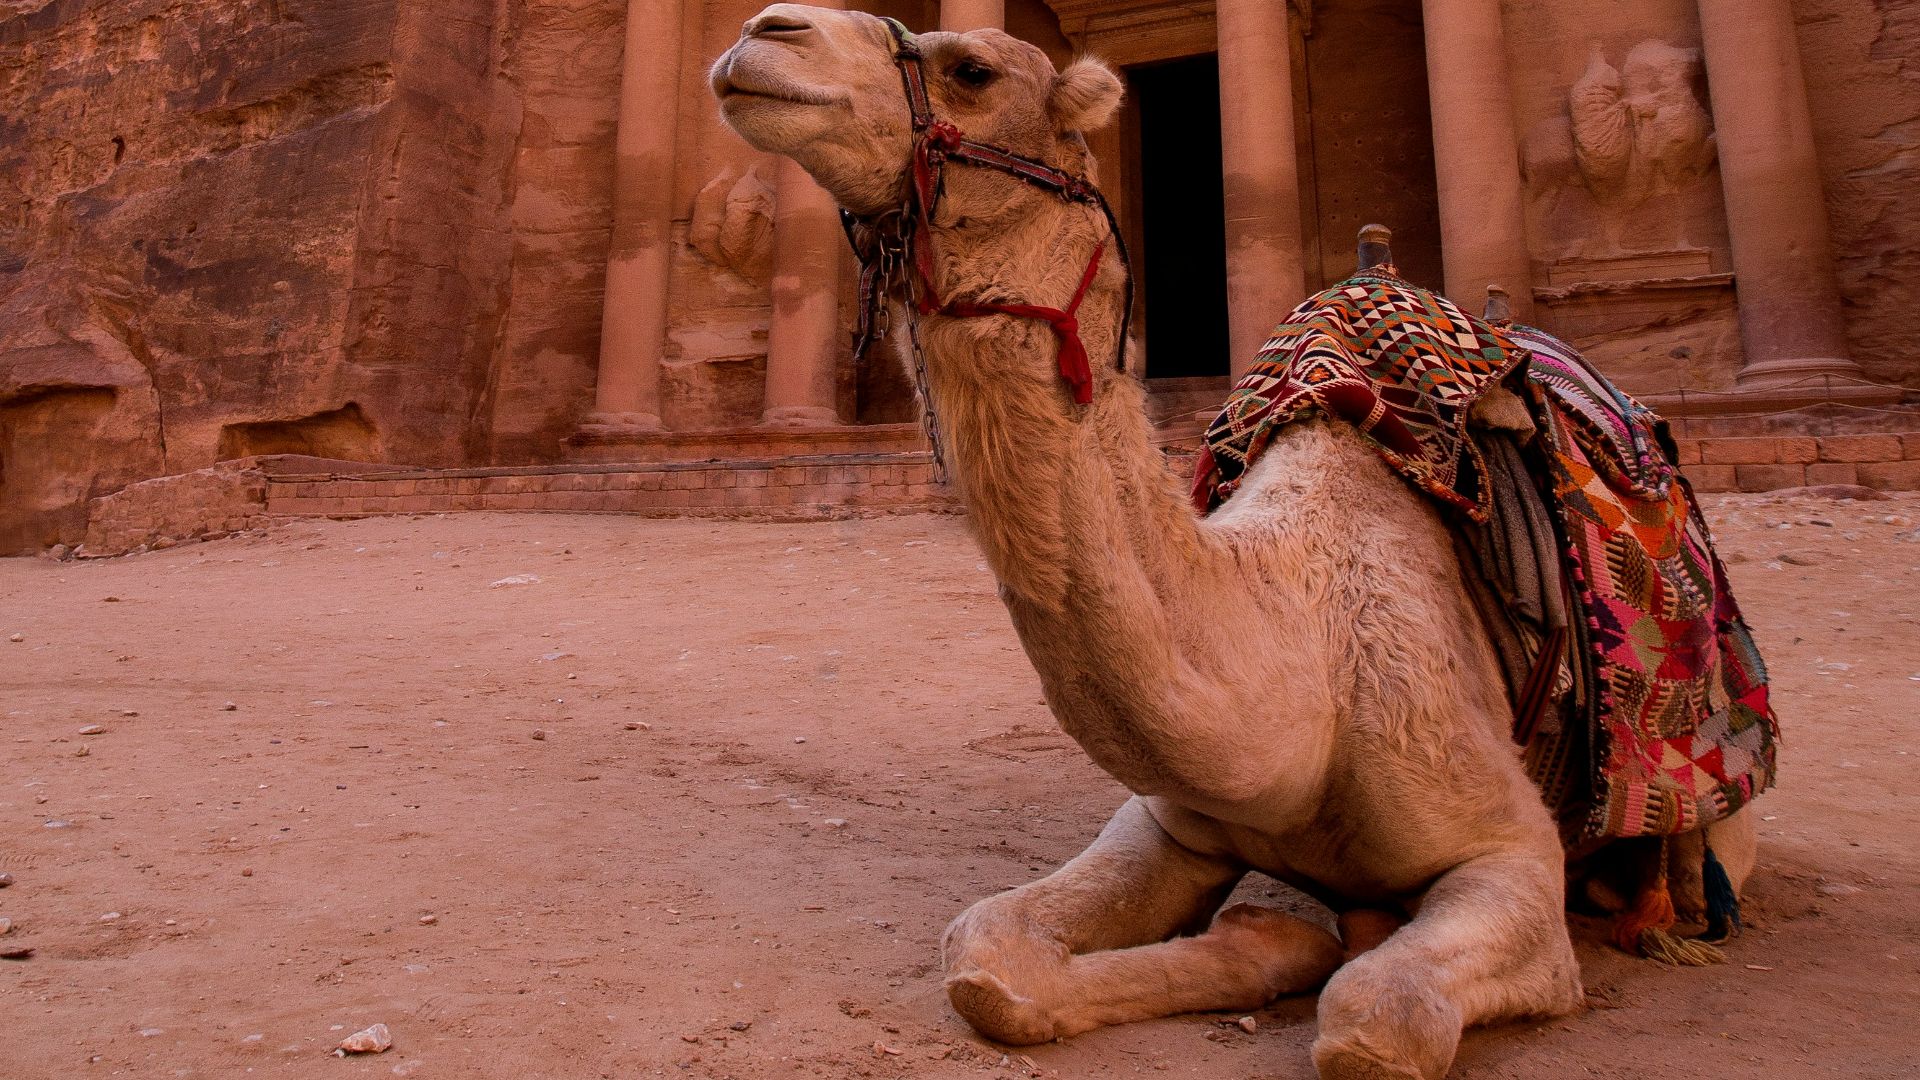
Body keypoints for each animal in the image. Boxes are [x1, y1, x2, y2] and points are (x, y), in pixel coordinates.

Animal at [709, 9, 1756, 1078]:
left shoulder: (1510, 852)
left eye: (973, 68)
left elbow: (1377, 1018)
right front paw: (1274, 936)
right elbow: (986, 955)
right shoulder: (1172, 820)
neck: (1304, 667)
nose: (765, 31)